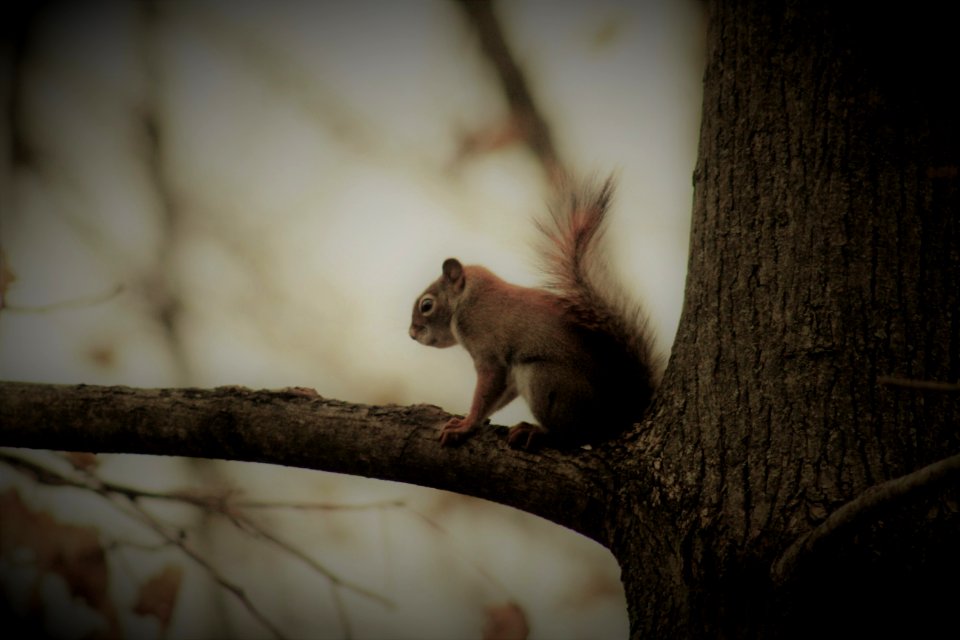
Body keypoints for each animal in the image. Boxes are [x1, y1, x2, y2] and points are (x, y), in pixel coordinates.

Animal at [404, 175, 660, 444]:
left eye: (426, 305)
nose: (412, 333)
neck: (468, 299)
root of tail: (619, 414)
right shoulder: (507, 373)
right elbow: (499, 395)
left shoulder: (488, 350)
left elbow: (487, 388)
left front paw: (466, 425)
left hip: (545, 379)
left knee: (573, 433)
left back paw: (537, 431)